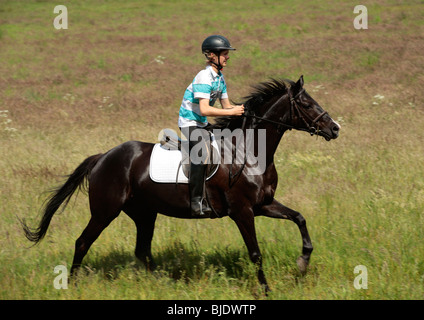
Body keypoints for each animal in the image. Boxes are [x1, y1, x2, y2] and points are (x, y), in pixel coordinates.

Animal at [22, 75, 342, 292]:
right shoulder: (242, 211)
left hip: (144, 214)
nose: (335, 128)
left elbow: (299, 218)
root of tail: (103, 157)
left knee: (142, 251)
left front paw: (303, 262)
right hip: (105, 211)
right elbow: (255, 253)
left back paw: (160, 284)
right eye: (307, 104)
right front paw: (265, 290)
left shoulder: (263, 205)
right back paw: (73, 283)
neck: (250, 151)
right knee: (83, 242)